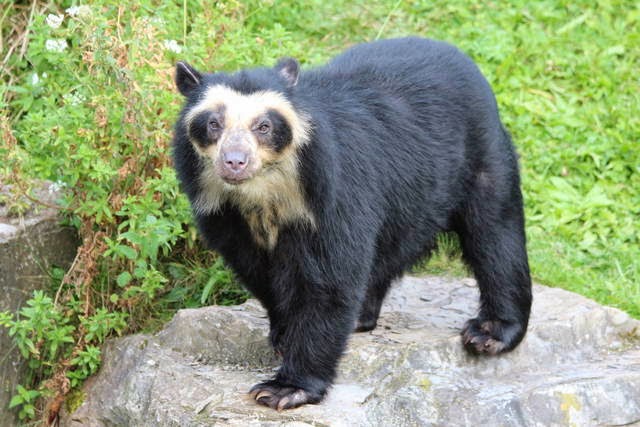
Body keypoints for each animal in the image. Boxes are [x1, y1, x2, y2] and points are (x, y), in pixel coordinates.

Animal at [171, 37, 532, 410]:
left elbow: (330, 281)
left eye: (265, 126)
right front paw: (283, 335)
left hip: (481, 156)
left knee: (495, 233)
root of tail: (458, 54)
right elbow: (259, 274)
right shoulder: (224, 215)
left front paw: (284, 389)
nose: (234, 162)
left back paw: (490, 332)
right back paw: (361, 316)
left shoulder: (333, 192)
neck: (264, 196)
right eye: (213, 124)